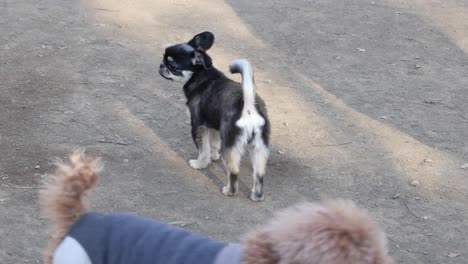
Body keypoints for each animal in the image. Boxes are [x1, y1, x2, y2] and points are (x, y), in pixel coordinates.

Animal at [159, 32, 270, 201]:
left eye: (172, 66)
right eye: (164, 58)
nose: (161, 65)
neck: (200, 75)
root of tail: (248, 107)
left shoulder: (198, 126)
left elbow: (203, 150)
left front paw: (200, 164)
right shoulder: (215, 127)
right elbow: (214, 144)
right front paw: (214, 156)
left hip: (230, 146)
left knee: (234, 172)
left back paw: (229, 191)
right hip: (259, 148)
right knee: (259, 175)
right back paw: (257, 196)